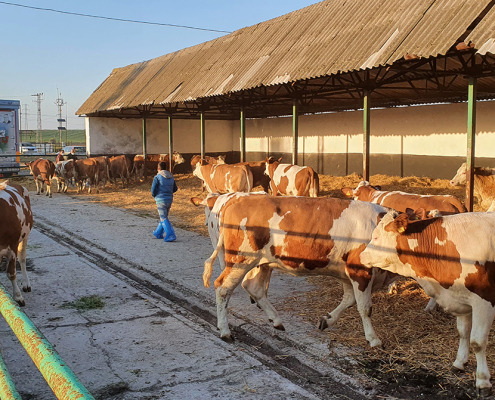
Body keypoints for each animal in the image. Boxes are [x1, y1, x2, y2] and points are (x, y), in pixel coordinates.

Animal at [197, 194, 400, 346]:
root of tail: (236, 199)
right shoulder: (360, 271)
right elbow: (365, 308)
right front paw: (373, 339)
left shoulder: (347, 274)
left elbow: (349, 300)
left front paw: (327, 320)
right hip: (240, 259)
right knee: (223, 288)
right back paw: (225, 330)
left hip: (262, 262)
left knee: (254, 287)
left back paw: (276, 320)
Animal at [360, 211, 495, 396]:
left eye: (376, 237)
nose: (361, 256)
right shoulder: (460, 299)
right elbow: (463, 332)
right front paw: (459, 362)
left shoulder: (484, 302)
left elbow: (477, 342)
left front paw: (482, 381)